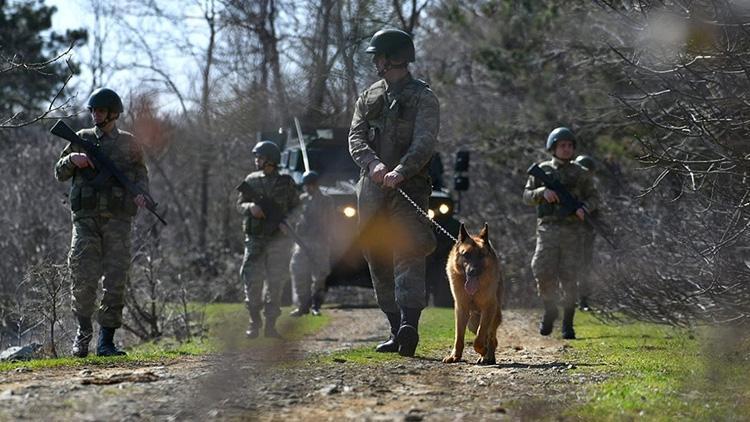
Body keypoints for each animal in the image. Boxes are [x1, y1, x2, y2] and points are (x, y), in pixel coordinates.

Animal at [444, 223, 502, 364]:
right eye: (466, 254)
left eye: (481, 255)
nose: (472, 271)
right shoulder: (461, 309)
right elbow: (459, 336)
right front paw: (455, 356)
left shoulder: (488, 308)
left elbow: (480, 336)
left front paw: (482, 350)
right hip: (472, 322)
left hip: (493, 316)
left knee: (491, 337)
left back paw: (488, 356)